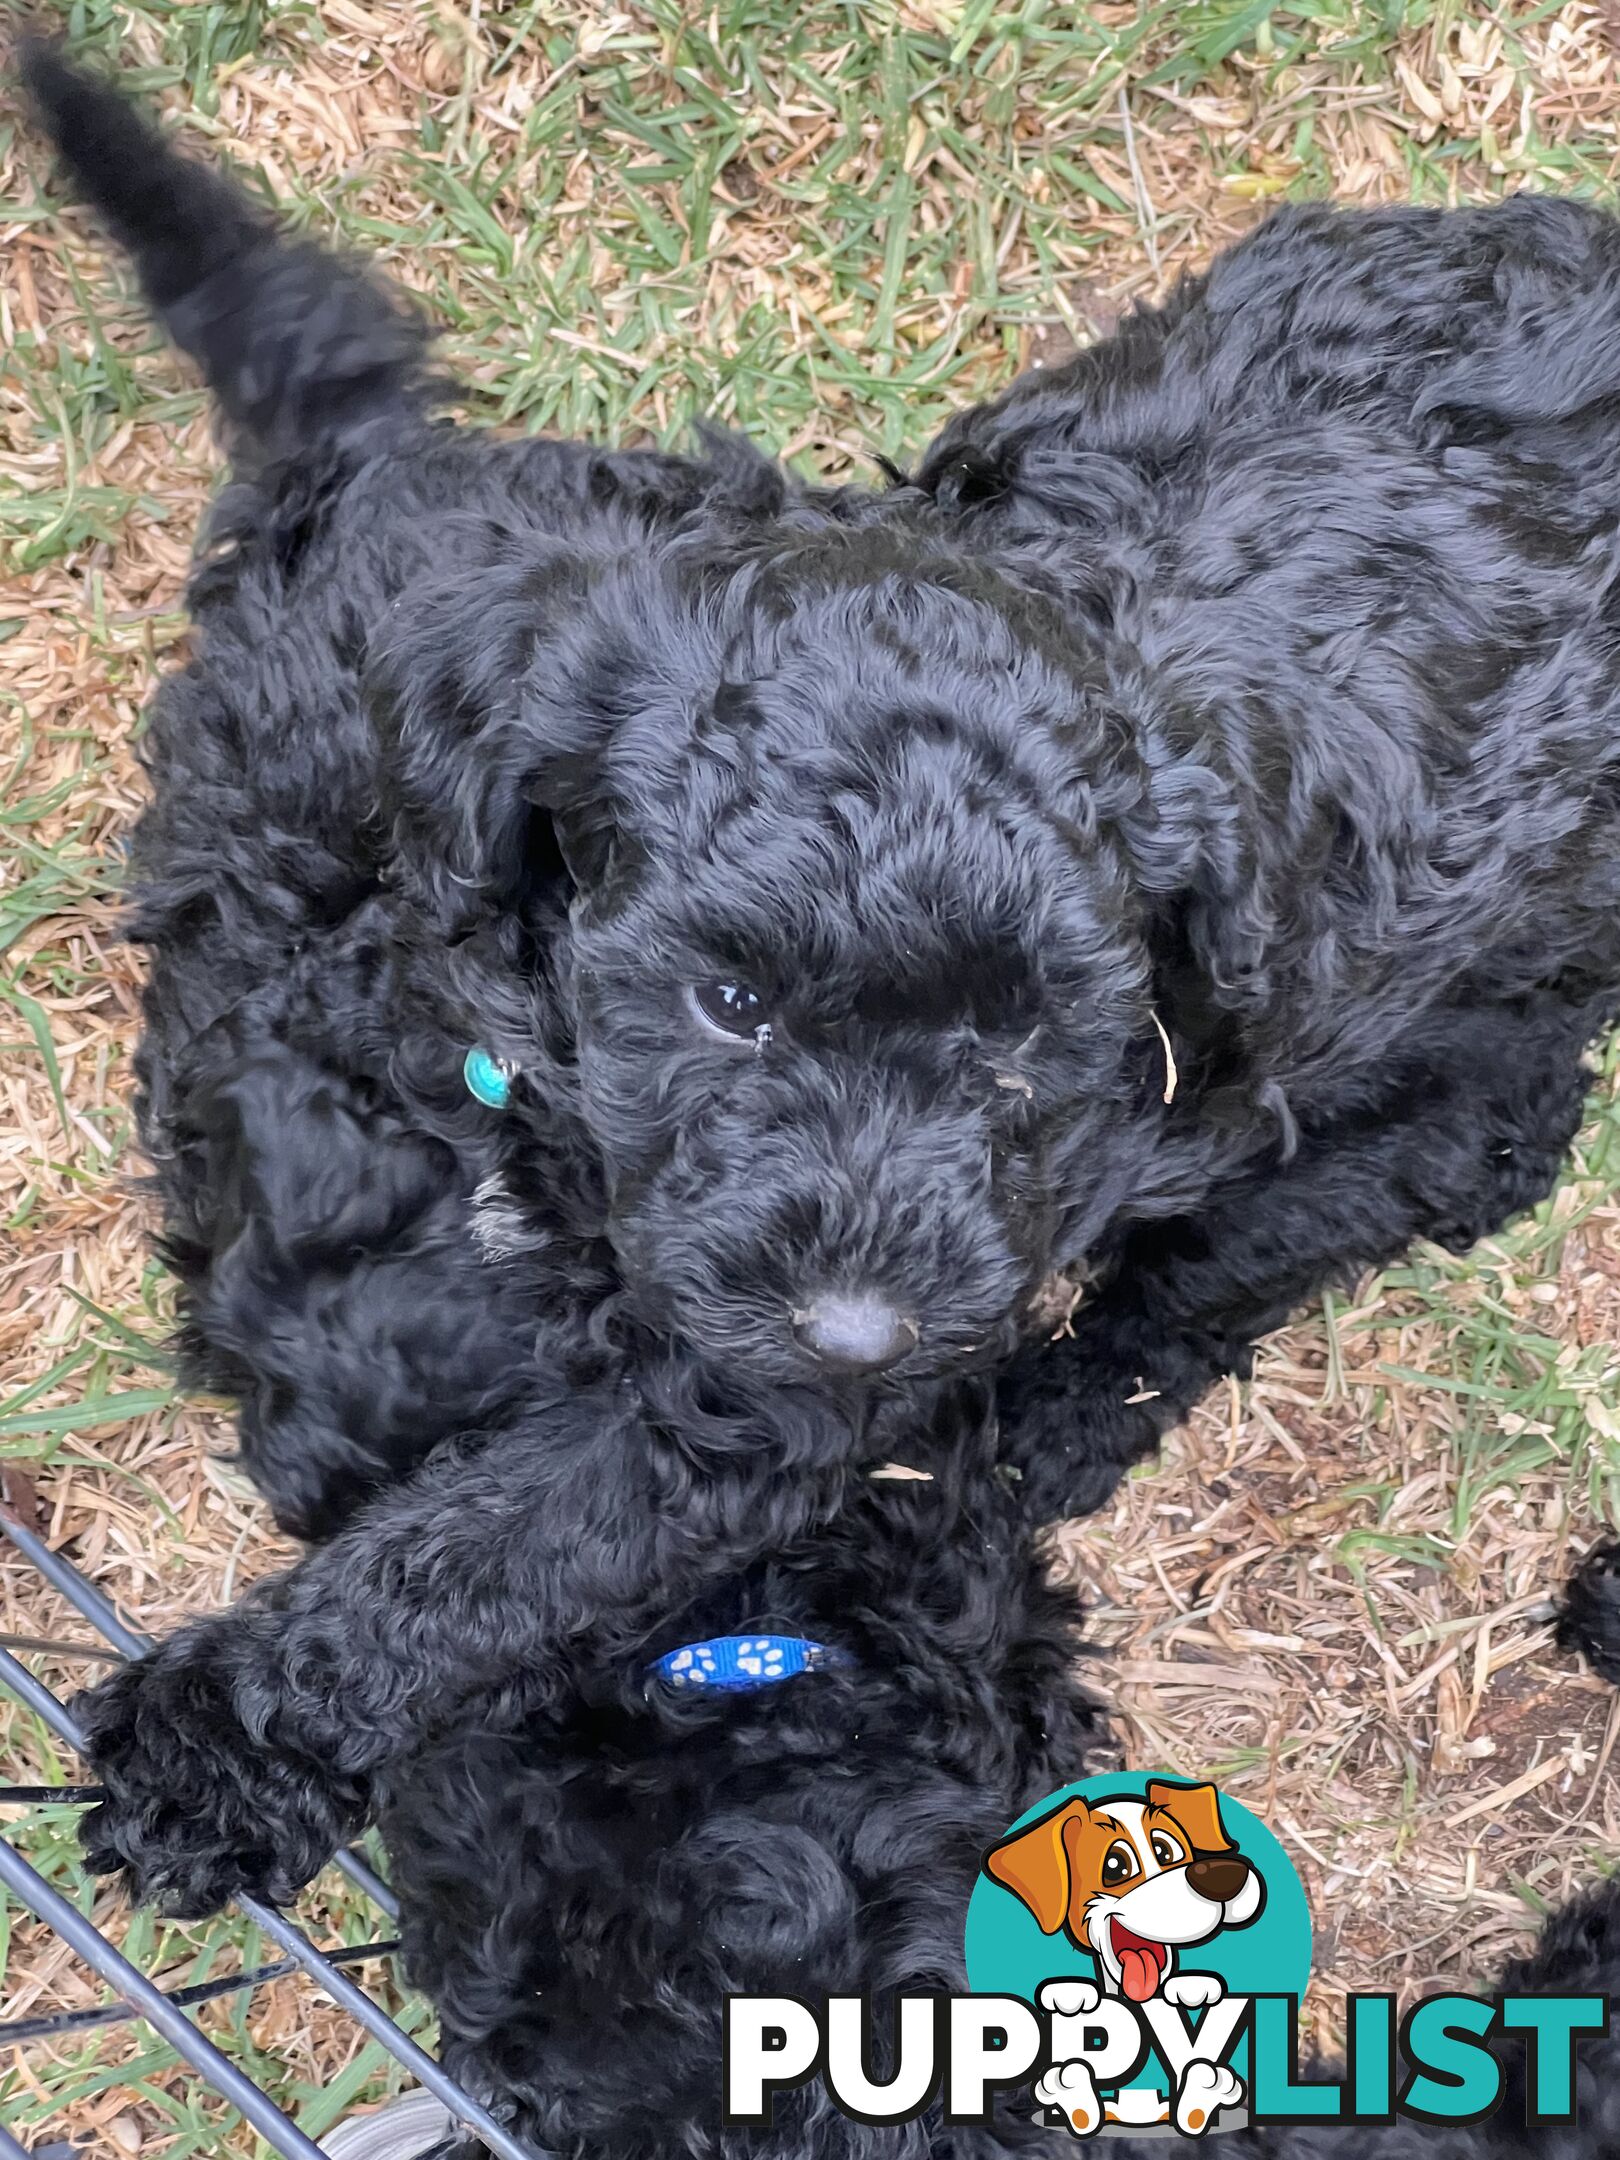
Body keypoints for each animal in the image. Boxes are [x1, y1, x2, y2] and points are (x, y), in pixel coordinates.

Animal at [19, 46, 1615, 1555]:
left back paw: (1053, 1426)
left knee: (1375, 1184)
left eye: (1029, 1040)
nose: (853, 1335)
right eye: (729, 1007)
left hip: (1480, 1017)